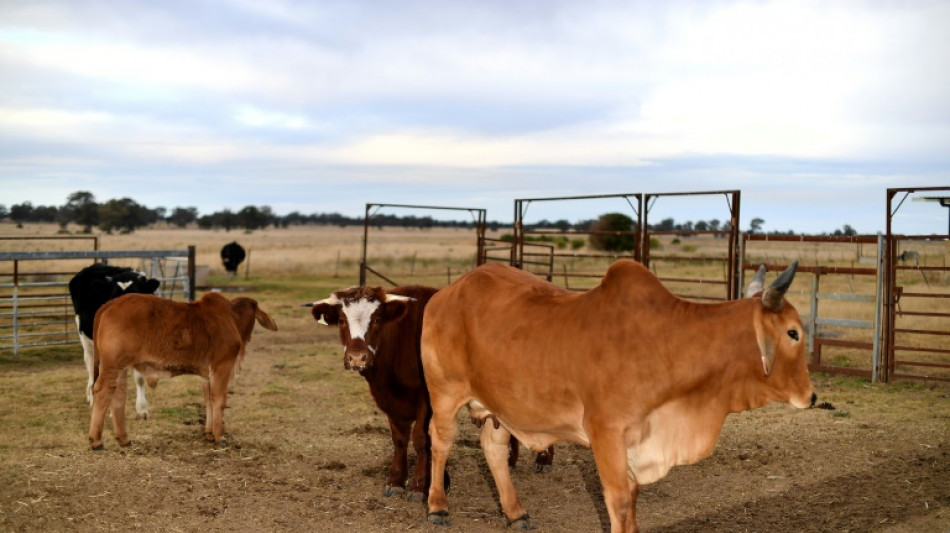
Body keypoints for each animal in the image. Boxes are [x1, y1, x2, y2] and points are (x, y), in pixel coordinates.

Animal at [68, 264, 160, 418]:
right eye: (113, 298)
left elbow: (140, 378)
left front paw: (142, 409)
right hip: (88, 344)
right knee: (92, 371)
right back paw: (92, 397)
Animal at [88, 290, 278, 448]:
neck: (232, 318)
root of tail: (111, 303)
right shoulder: (222, 366)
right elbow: (219, 401)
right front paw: (220, 437)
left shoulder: (206, 374)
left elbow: (208, 400)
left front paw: (209, 433)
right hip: (112, 365)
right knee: (102, 391)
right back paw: (96, 440)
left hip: (120, 367)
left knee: (117, 396)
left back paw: (123, 438)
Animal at [424, 258, 820, 528]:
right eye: (793, 332)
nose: (812, 396)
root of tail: (446, 293)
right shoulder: (606, 434)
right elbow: (618, 502)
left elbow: (631, 501)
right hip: (444, 393)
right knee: (440, 441)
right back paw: (437, 506)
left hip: (498, 407)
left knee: (492, 448)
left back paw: (515, 513)